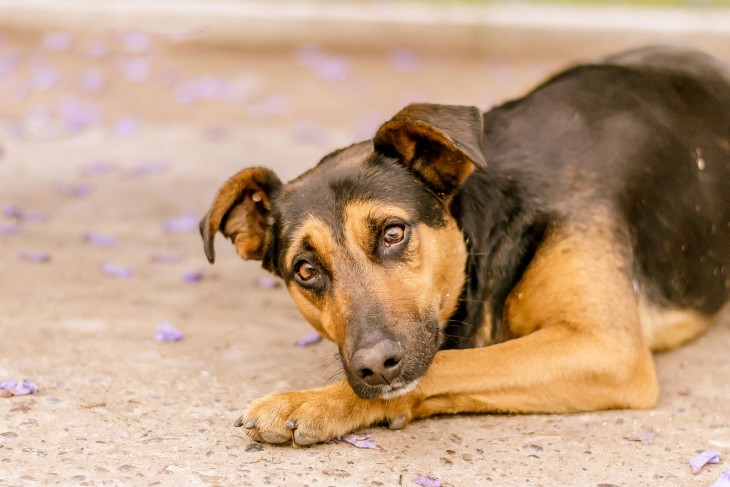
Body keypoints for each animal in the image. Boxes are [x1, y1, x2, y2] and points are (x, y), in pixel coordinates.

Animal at [199, 47, 728, 448]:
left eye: (393, 233)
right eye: (305, 270)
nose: (374, 364)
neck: (495, 222)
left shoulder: (604, 347)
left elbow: (448, 364)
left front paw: (312, 400)